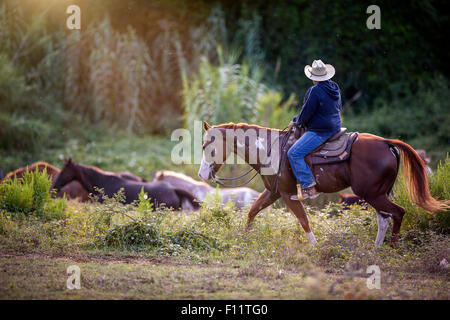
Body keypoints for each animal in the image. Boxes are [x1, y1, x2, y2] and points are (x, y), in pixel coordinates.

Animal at [199, 122, 448, 248]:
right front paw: (244, 238)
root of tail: (387, 143)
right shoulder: (273, 192)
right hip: (376, 194)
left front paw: (315, 247)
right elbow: (252, 211)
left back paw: (391, 248)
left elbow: (303, 219)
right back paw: (376, 249)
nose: (202, 174)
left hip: (372, 194)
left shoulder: (287, 194)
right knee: (384, 218)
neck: (270, 149)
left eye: (206, 145)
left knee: (397, 213)